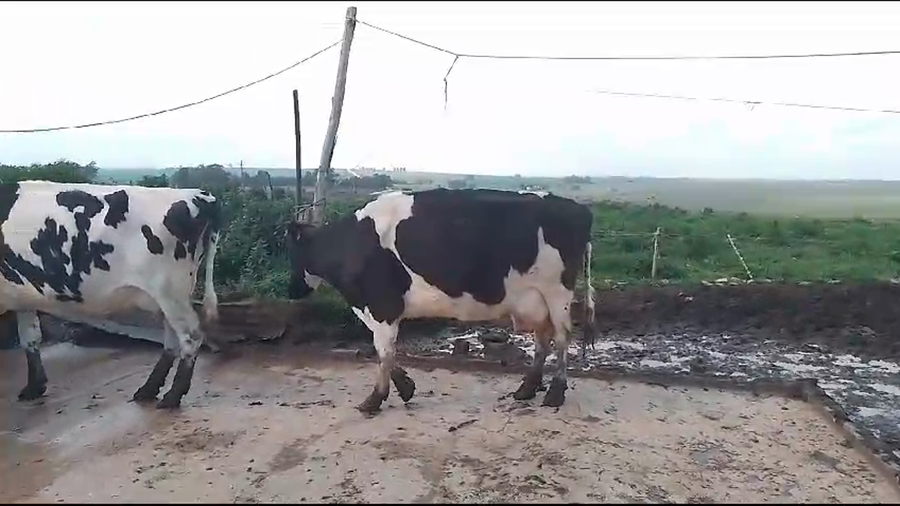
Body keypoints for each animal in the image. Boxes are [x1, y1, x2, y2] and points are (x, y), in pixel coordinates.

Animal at [0, 180, 221, 409]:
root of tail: (200, 195)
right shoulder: (22, 297)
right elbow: (30, 338)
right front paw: (34, 387)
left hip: (170, 291)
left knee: (191, 336)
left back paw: (172, 396)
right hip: (170, 295)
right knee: (172, 341)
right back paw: (149, 389)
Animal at [285, 188, 596, 414]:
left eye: (292, 252)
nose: (291, 290)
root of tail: (578, 208)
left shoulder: (382, 305)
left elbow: (383, 351)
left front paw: (374, 399)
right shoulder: (375, 308)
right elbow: (385, 351)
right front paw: (405, 387)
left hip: (557, 292)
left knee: (562, 337)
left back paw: (555, 393)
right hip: (536, 298)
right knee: (543, 337)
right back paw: (527, 389)